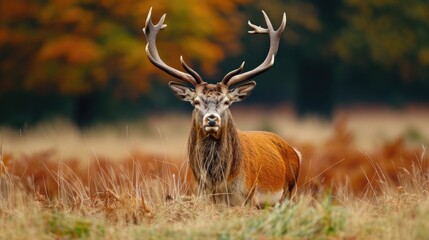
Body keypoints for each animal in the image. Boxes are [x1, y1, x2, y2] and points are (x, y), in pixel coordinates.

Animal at [142, 7, 300, 206]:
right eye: (196, 101)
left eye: (226, 101)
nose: (211, 119)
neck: (217, 184)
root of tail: (295, 151)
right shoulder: (202, 195)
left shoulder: (247, 197)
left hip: (289, 193)